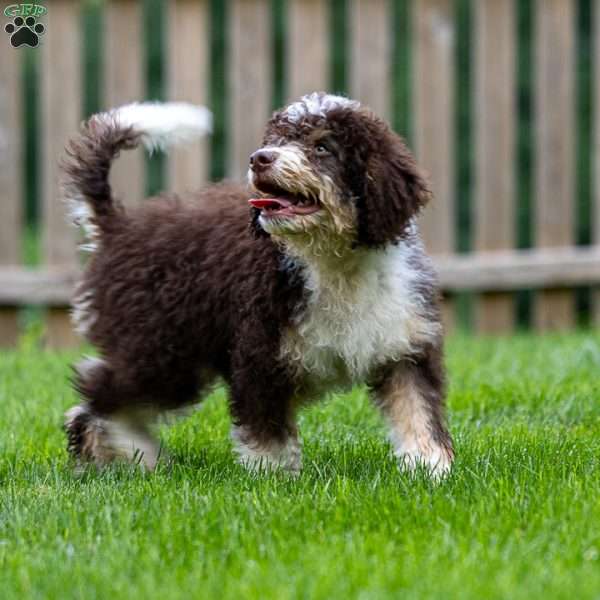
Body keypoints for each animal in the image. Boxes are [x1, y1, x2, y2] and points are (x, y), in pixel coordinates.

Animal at [62, 92, 454, 478]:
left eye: (322, 147)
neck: (334, 262)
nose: (259, 158)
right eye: (277, 140)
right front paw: (274, 478)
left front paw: (429, 468)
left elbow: (417, 410)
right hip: (162, 348)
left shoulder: (405, 345)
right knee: (98, 391)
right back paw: (136, 454)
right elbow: (268, 431)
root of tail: (117, 227)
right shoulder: (259, 352)